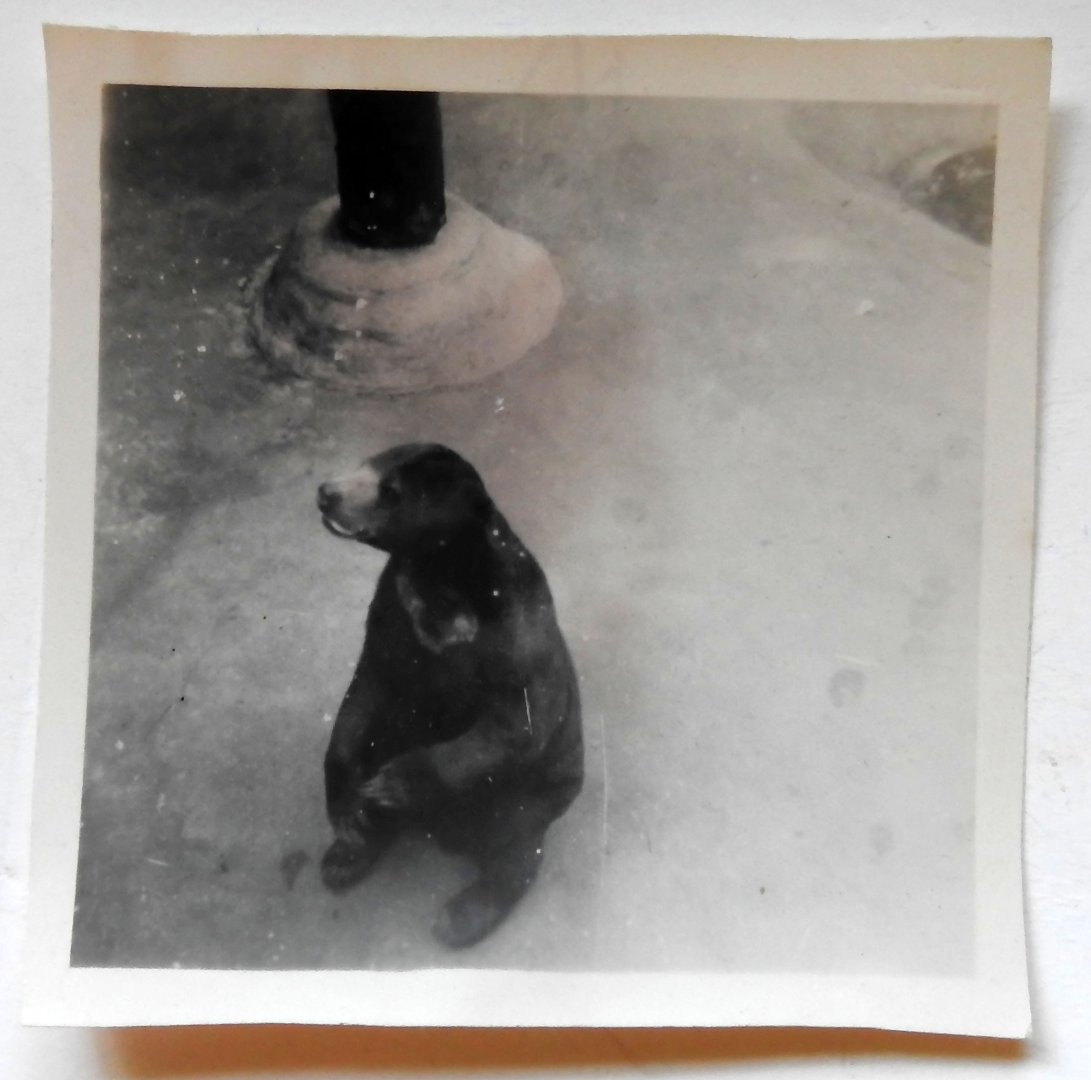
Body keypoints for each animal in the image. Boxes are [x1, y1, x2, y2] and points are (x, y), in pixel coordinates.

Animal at [315, 443, 584, 949]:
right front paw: (346, 807)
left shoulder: (516, 625)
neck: (438, 575)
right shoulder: (390, 613)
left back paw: (463, 916)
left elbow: (521, 718)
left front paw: (391, 783)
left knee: (515, 845)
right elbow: (363, 692)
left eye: (390, 491)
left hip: (535, 792)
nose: (325, 493)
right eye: (365, 463)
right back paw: (348, 852)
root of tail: (443, 829)